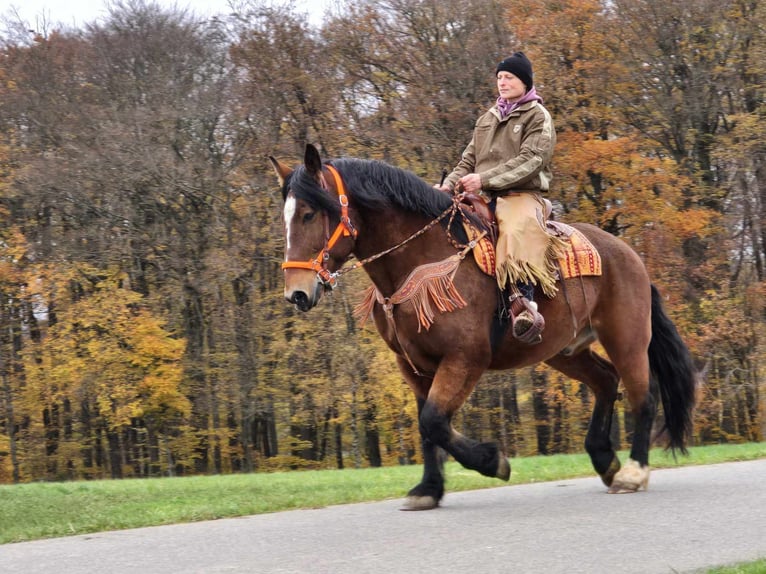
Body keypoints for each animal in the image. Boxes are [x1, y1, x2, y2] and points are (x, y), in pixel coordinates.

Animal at [272, 144, 700, 512]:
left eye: (309, 213)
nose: (297, 293)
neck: (421, 260)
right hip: (563, 350)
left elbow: (434, 420)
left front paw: (493, 460)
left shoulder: (466, 358)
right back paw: (604, 458)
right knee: (606, 381)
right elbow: (428, 427)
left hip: (626, 336)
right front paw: (428, 489)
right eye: (286, 217)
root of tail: (629, 254)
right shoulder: (412, 365)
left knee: (643, 397)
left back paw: (633, 472)